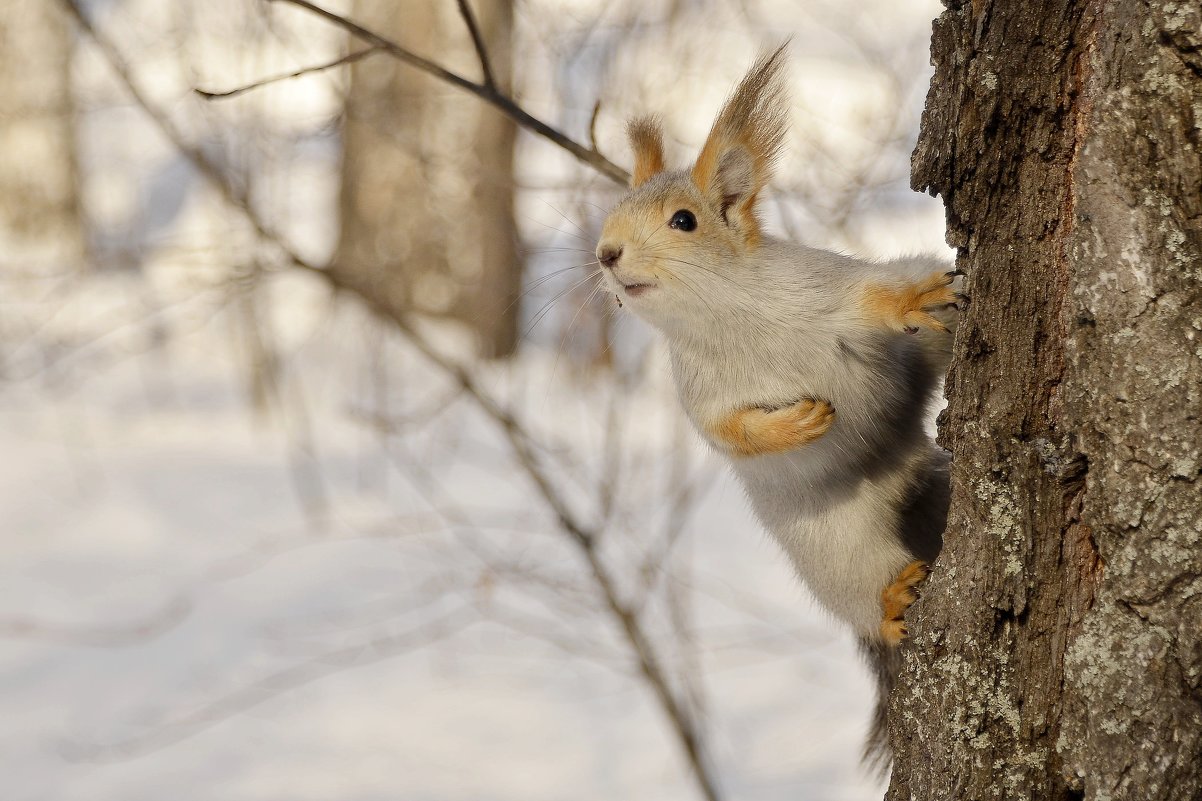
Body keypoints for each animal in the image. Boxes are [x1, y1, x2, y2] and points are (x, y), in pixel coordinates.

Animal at [593, 42, 956, 760]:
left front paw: (919, 298)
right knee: (864, 591)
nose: (606, 253)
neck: (728, 315)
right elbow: (730, 434)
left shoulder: (829, 286)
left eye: (684, 221)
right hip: (834, 549)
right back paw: (892, 599)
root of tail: (903, 475)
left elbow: (878, 295)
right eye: (612, 213)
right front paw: (796, 426)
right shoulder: (700, 394)